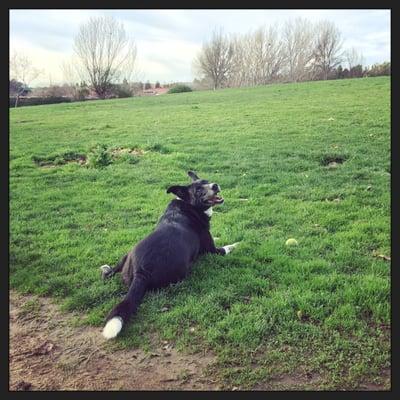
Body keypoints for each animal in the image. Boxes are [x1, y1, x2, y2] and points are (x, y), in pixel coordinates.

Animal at [101, 170, 239, 340]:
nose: (215, 185)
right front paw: (237, 244)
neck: (189, 205)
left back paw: (106, 269)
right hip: (179, 274)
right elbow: (227, 247)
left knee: (110, 273)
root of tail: (141, 271)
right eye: (199, 190)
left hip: (127, 254)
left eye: (207, 181)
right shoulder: (212, 250)